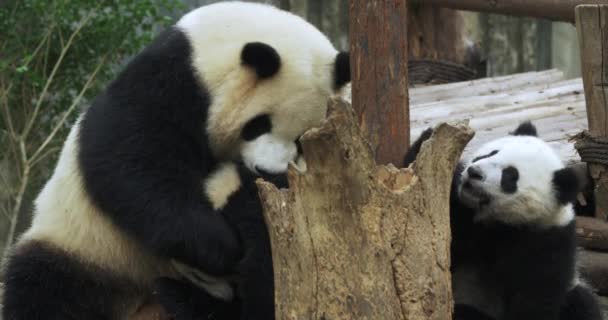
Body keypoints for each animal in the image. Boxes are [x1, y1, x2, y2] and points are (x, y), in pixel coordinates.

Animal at [0, 2, 350, 320]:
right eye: (258, 124)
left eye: (301, 139)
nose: (265, 169)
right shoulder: (171, 80)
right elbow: (132, 161)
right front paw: (221, 244)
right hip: (85, 246)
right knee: (44, 287)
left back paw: (182, 298)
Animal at [404, 122, 604, 320]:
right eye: (491, 153)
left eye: (510, 176)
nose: (474, 172)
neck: (499, 223)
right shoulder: (460, 214)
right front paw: (428, 138)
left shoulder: (547, 243)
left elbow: (535, 298)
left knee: (583, 302)